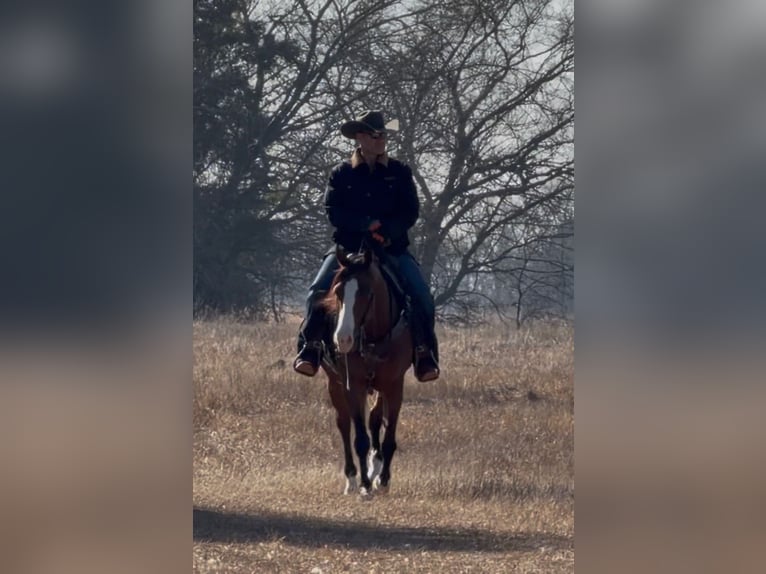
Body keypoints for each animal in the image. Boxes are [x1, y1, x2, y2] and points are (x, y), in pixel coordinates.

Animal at [320, 242, 413, 497]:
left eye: (367, 293)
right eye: (338, 292)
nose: (343, 339)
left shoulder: (394, 385)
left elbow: (387, 433)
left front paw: (383, 478)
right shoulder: (354, 385)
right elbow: (359, 437)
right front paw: (364, 485)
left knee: (374, 418)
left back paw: (375, 466)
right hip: (335, 383)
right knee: (344, 424)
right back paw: (351, 478)